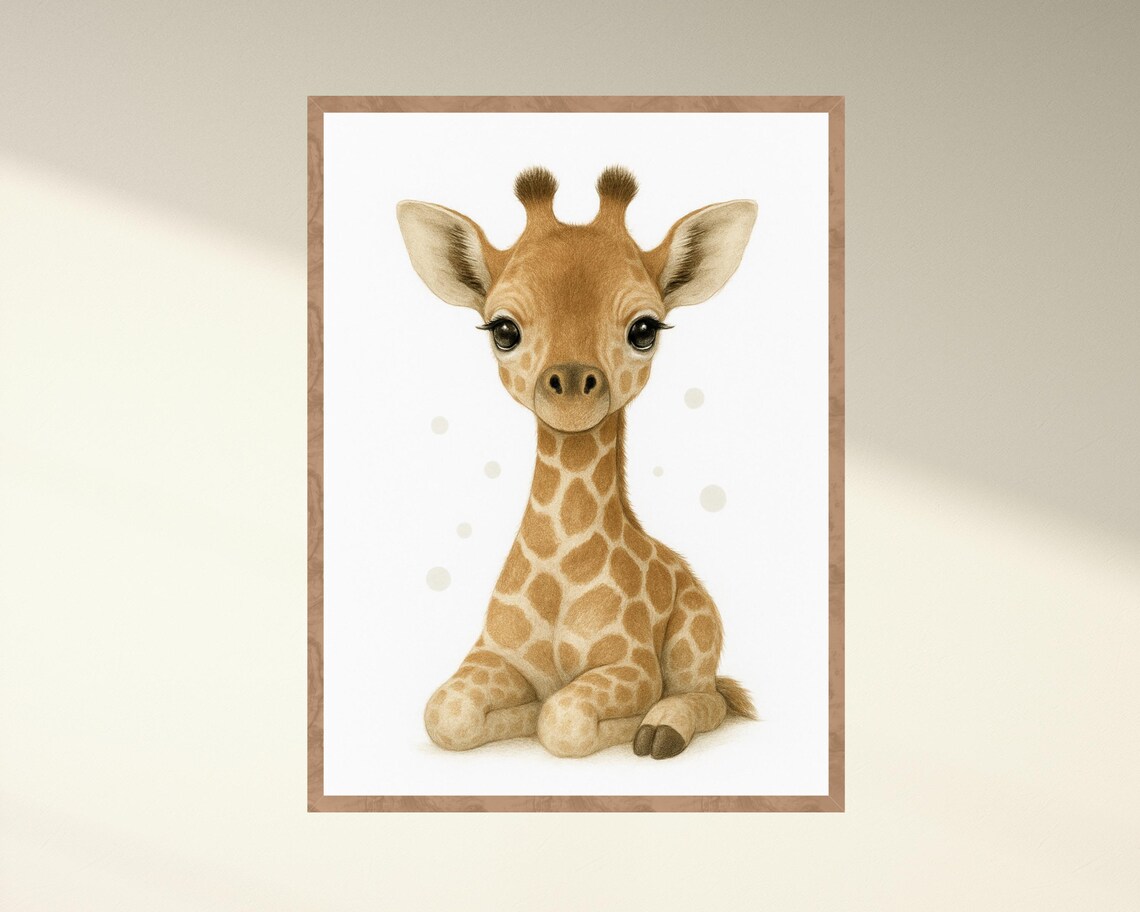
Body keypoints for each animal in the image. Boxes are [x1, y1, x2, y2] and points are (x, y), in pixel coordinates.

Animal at [396, 166, 758, 759]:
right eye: (503, 329)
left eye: (644, 329)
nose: (569, 386)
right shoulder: (491, 654)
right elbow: (445, 713)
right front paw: (515, 715)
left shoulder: (633, 666)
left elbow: (563, 722)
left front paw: (627, 726)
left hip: (696, 639)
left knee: (714, 697)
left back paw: (662, 728)